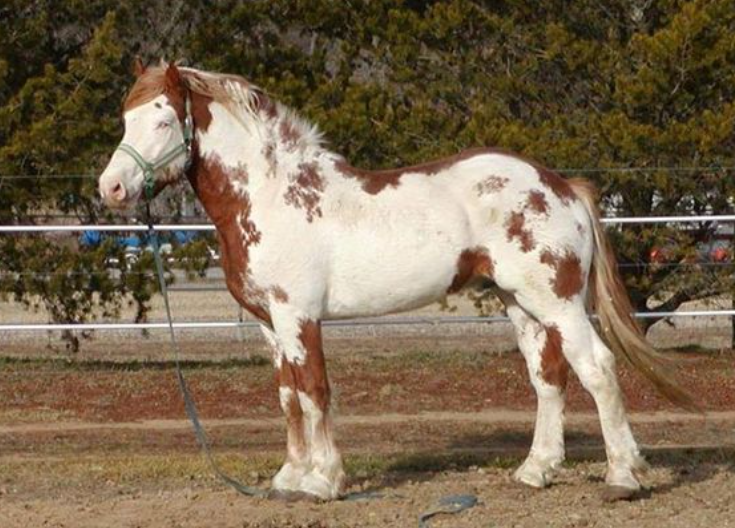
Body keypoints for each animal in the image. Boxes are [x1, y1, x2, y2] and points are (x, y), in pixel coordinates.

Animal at [98, 61, 695, 502]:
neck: (271, 196)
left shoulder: (298, 316)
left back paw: (622, 477)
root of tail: (563, 186)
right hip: (520, 302)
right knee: (548, 378)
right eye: (126, 119)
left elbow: (314, 391)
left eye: (162, 121)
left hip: (559, 302)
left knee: (597, 368)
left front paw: (323, 481)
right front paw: (289, 477)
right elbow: (287, 396)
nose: (112, 188)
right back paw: (536, 470)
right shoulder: (270, 324)